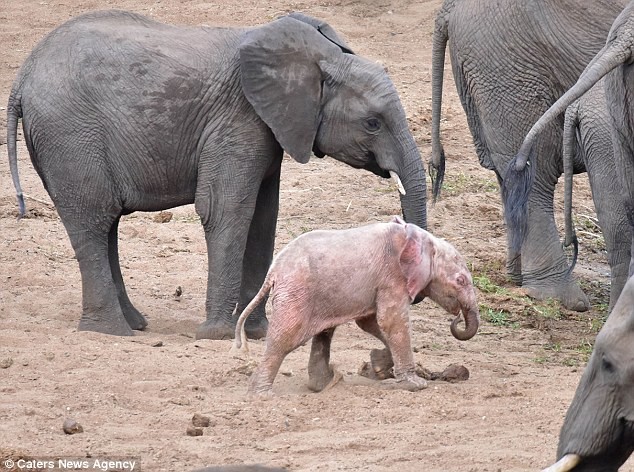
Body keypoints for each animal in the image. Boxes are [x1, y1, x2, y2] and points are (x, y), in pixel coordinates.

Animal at [6, 10, 424, 340]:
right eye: (372, 123)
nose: (415, 297)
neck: (318, 59)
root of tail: (22, 78)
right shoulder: (238, 120)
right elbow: (227, 210)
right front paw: (218, 335)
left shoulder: (266, 128)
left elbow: (263, 217)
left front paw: (259, 333)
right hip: (70, 135)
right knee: (93, 219)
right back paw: (112, 332)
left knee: (105, 222)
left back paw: (134, 324)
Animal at [230, 218, 476, 398]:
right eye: (461, 280)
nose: (457, 318)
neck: (420, 239)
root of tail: (273, 271)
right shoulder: (393, 277)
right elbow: (390, 321)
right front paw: (416, 385)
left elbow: (371, 322)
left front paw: (377, 365)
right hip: (296, 294)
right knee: (284, 339)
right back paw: (263, 396)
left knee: (323, 333)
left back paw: (328, 384)